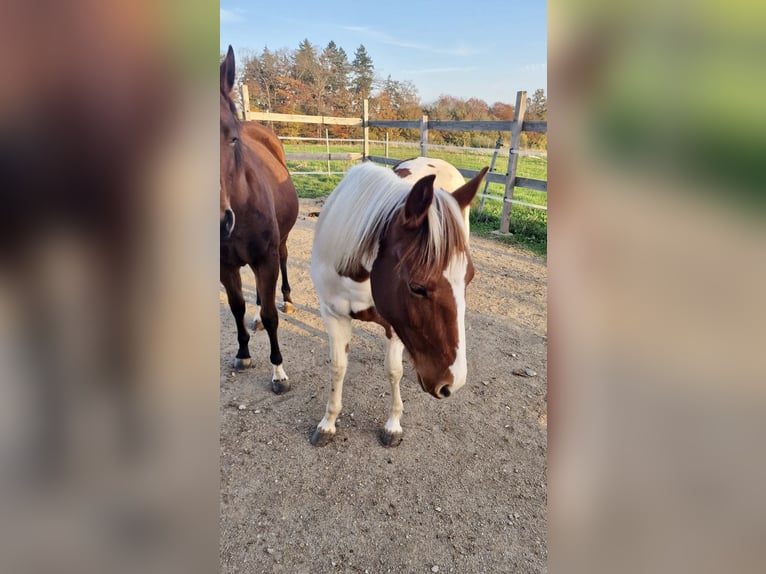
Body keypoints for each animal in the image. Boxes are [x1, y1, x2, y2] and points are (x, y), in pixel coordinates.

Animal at [308, 160, 488, 448]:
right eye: (417, 288)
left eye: (469, 278)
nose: (453, 383)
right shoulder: (333, 315)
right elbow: (338, 368)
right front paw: (328, 423)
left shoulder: (394, 326)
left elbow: (393, 371)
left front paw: (393, 426)